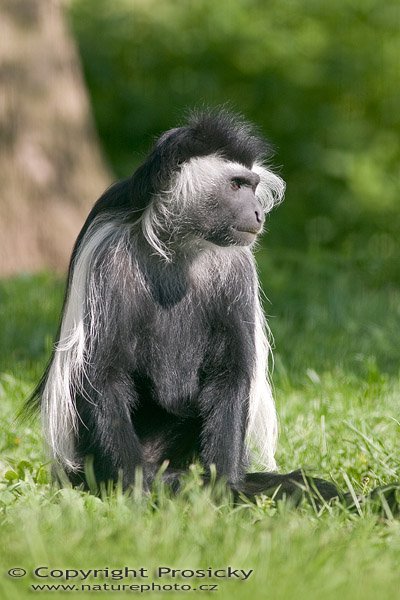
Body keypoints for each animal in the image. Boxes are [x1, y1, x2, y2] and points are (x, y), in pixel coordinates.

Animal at [28, 108, 340, 502]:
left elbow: (229, 372)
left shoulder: (236, 267)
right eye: (237, 185)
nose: (257, 212)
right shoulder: (107, 257)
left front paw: (224, 487)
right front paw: (136, 487)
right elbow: (101, 374)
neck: (180, 245)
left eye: (252, 186)